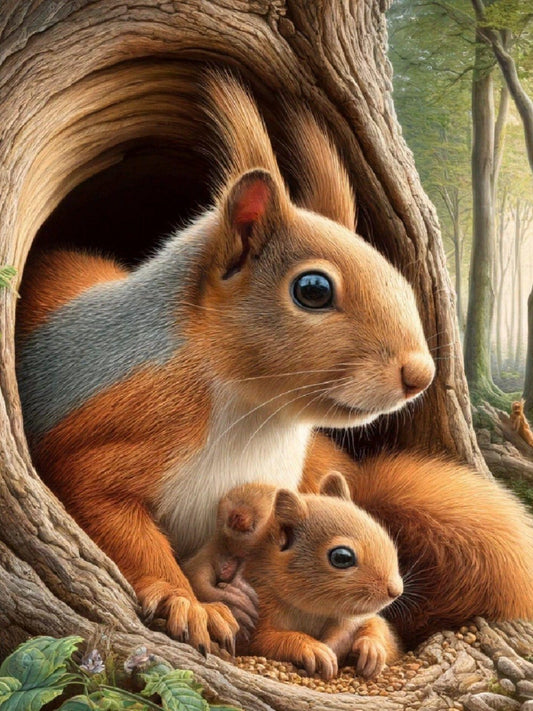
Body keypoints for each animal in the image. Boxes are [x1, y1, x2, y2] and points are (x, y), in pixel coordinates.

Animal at [184, 473, 402, 680]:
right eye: (342, 557)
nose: (396, 590)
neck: (312, 612)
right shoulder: (260, 611)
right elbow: (265, 641)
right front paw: (312, 648)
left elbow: (381, 631)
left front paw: (372, 647)